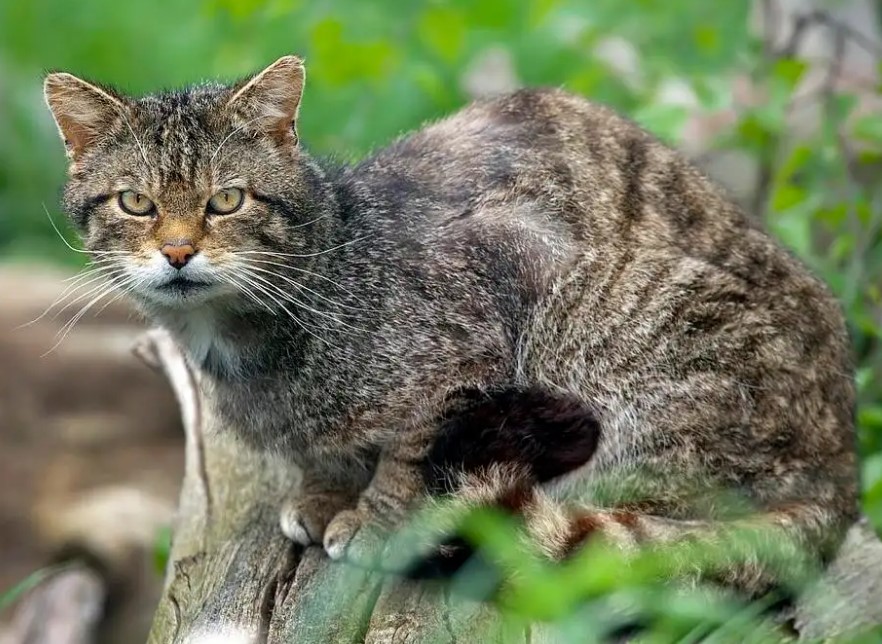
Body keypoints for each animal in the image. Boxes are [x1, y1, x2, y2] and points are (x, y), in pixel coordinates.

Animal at [44, 55, 856, 592]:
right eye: (137, 204)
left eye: (227, 201)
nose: (179, 251)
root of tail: (844, 474)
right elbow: (325, 454)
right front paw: (324, 494)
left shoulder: (487, 304)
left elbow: (407, 454)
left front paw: (374, 520)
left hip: (608, 321)